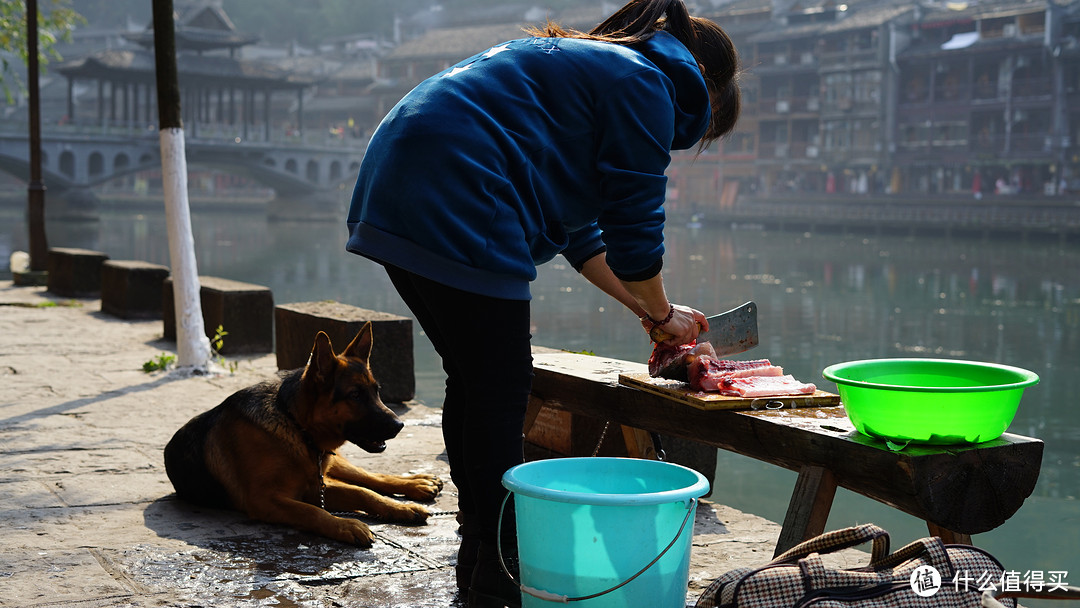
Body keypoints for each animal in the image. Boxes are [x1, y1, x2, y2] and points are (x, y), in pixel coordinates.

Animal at [164, 323, 442, 546]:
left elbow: (363, 493)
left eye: (377, 391)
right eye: (355, 395)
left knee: (371, 478)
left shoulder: (313, 486)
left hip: (335, 466)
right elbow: (315, 512)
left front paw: (399, 508)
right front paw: (346, 525)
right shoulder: (269, 499)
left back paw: (416, 484)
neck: (295, 425)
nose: (399, 425)